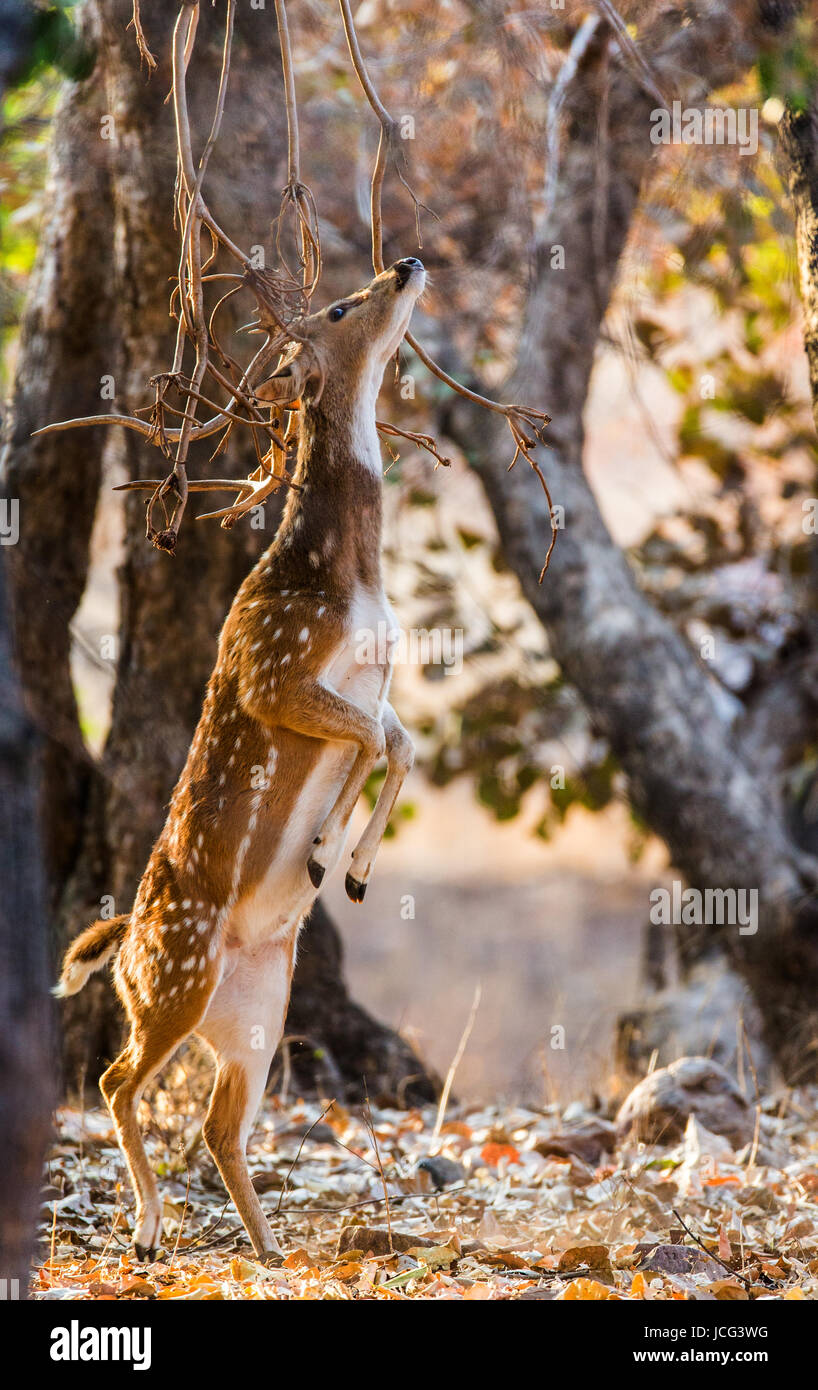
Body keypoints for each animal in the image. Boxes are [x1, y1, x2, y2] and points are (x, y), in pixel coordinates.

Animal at [54, 257, 426, 1261]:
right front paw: (331, 855)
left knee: (220, 1122)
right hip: (174, 979)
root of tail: (126, 942)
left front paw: (348, 866)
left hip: (260, 1013)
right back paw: (148, 1232)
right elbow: (371, 739)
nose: (407, 263)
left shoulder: (376, 676)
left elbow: (399, 741)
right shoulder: (270, 668)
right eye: (339, 306)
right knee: (116, 1079)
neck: (347, 578)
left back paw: (269, 1249)